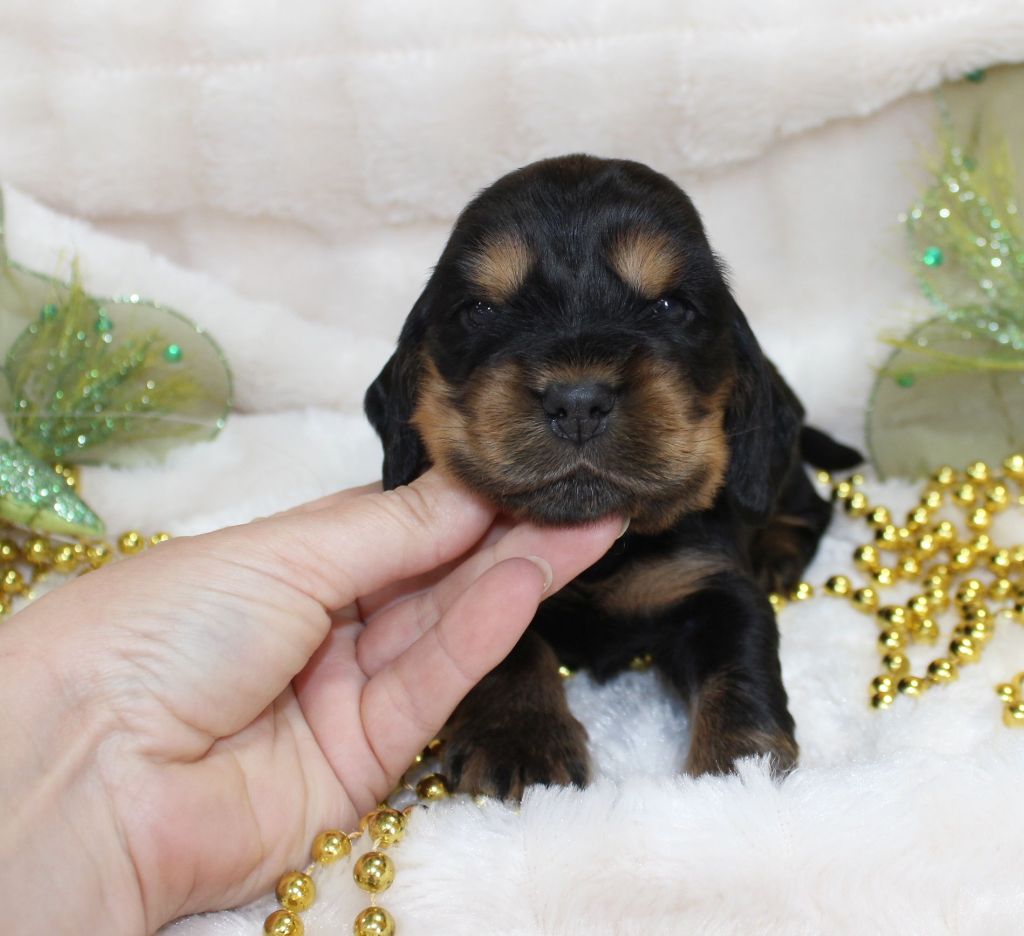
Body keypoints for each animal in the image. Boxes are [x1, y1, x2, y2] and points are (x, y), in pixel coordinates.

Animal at [365, 154, 860, 797]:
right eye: (480, 310)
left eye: (670, 307)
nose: (578, 402)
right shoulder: (477, 584)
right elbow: (504, 646)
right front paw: (519, 739)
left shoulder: (713, 583)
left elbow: (740, 669)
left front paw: (738, 774)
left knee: (809, 504)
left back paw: (778, 552)